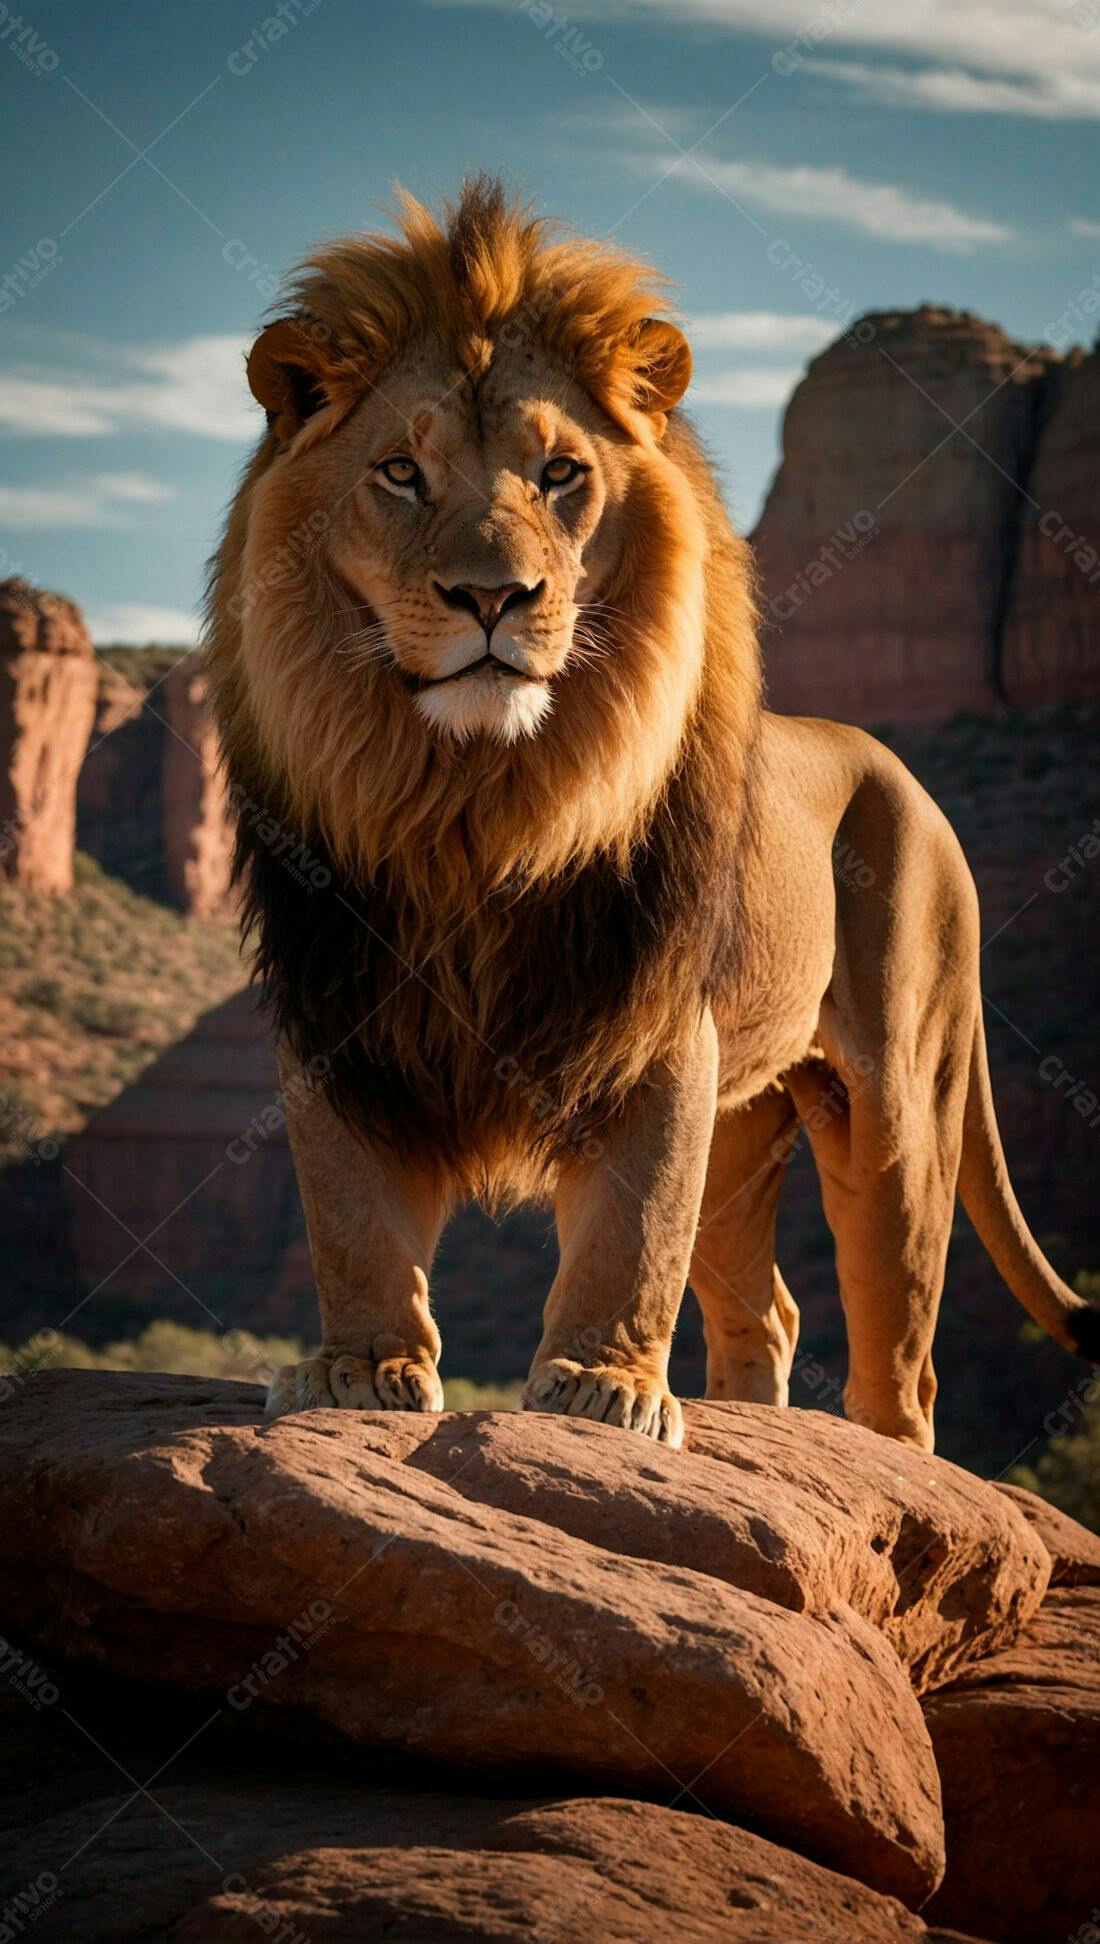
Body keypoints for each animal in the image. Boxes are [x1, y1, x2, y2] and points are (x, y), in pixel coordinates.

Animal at [206, 176, 1098, 1452]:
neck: (473, 801)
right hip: (747, 1119)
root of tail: (902, 775)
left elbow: (629, 1232)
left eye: (558, 475)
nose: (492, 596)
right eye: (400, 473)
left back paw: (875, 1455)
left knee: (899, 1352)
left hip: (897, 1108)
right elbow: (351, 1217)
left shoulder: (653, 1020)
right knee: (769, 1309)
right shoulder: (339, 1006)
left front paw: (600, 1387)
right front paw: (361, 1369)